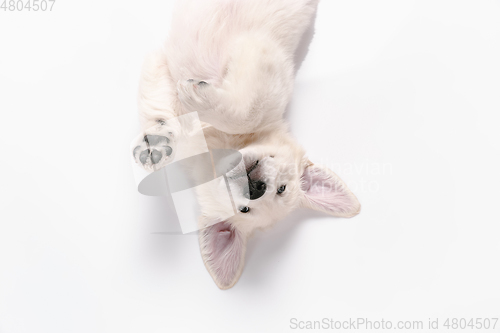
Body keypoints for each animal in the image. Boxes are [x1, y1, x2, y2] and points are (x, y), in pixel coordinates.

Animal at [132, 0, 360, 288]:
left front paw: (198, 99)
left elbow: (245, 113)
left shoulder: (261, 54)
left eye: (245, 208)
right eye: (282, 189)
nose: (256, 188)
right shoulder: (161, 64)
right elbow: (159, 104)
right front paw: (156, 141)